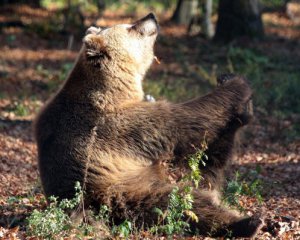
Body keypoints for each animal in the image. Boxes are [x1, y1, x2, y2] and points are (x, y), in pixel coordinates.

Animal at [34, 13, 262, 238]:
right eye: (130, 27)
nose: (151, 16)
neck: (116, 88)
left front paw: (229, 81)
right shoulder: (115, 126)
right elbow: (185, 121)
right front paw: (238, 84)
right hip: (123, 191)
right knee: (180, 203)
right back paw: (247, 222)